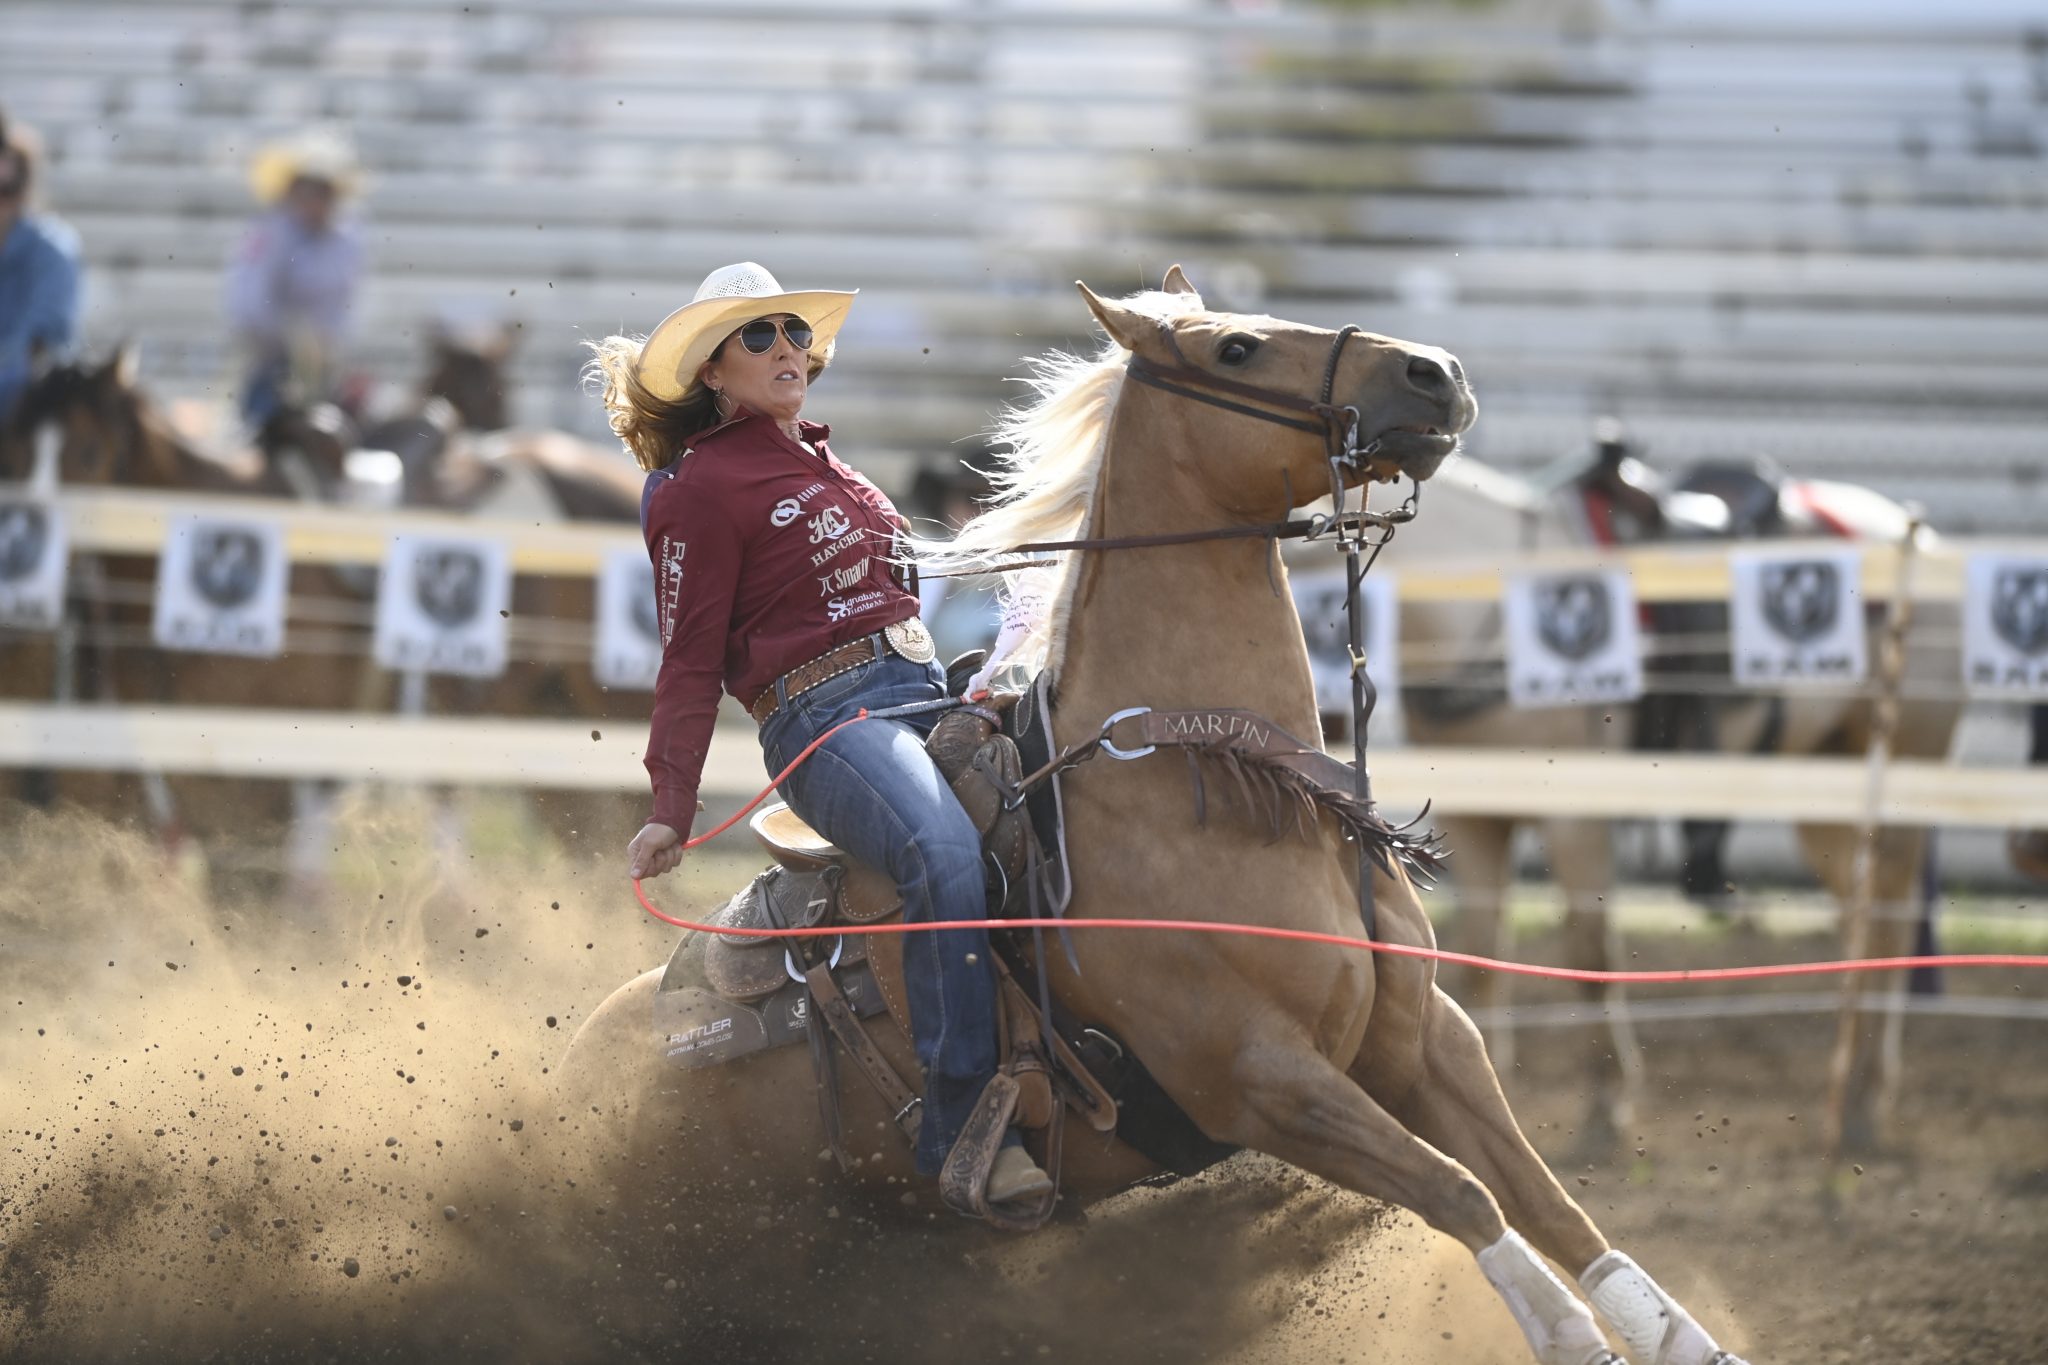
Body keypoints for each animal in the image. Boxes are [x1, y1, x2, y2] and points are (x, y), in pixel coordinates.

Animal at [561, 270, 1744, 1365]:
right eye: (1234, 348)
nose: (1433, 374)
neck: (1214, 789)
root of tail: (582, 1063)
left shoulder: (1422, 1041)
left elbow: (1547, 1198)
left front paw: (1683, 1340)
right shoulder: (1262, 1081)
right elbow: (1463, 1193)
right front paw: (1573, 1338)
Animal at [1359, 454, 1966, 1162]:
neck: (1486, 608)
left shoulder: (1574, 817)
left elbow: (1589, 949)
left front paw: (1607, 1108)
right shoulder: (1476, 817)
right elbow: (1480, 951)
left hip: (1902, 771)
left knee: (1894, 917)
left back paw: (1868, 1098)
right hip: (1827, 786)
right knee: (1864, 916)